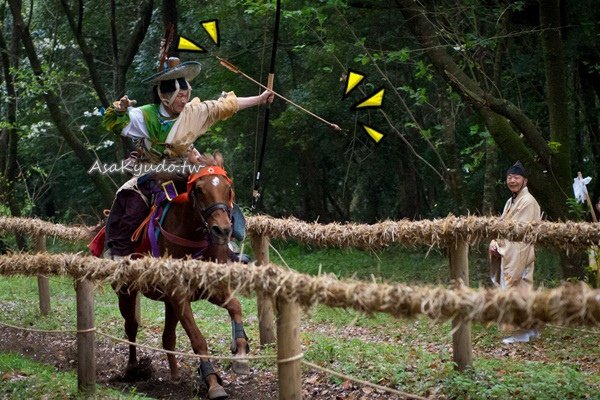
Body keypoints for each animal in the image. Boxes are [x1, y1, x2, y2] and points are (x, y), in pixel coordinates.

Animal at [115, 152, 248, 398]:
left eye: (228, 188)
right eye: (199, 189)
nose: (222, 230)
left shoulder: (209, 289)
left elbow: (235, 306)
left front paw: (241, 353)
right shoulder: (179, 296)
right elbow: (198, 340)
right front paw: (213, 383)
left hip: (168, 303)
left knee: (168, 337)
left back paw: (175, 375)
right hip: (126, 292)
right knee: (131, 327)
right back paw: (132, 368)